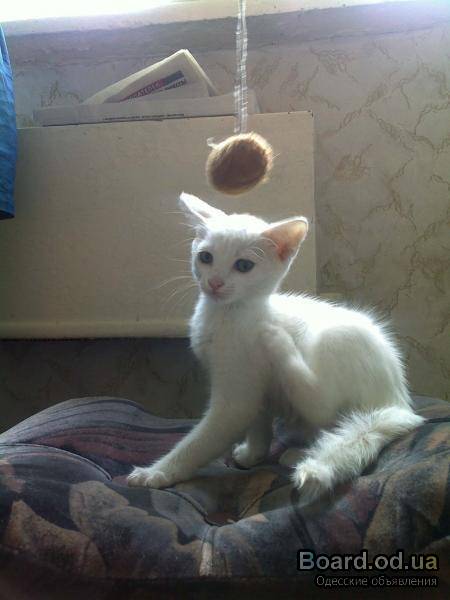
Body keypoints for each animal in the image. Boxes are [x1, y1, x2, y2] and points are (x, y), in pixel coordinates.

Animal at [128, 192, 424, 503]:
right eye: (205, 257)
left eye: (244, 266)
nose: (215, 282)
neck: (226, 315)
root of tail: (398, 401)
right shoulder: (255, 388)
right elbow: (258, 421)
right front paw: (253, 453)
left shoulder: (236, 395)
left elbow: (201, 440)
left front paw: (158, 472)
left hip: (336, 337)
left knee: (322, 406)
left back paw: (277, 340)